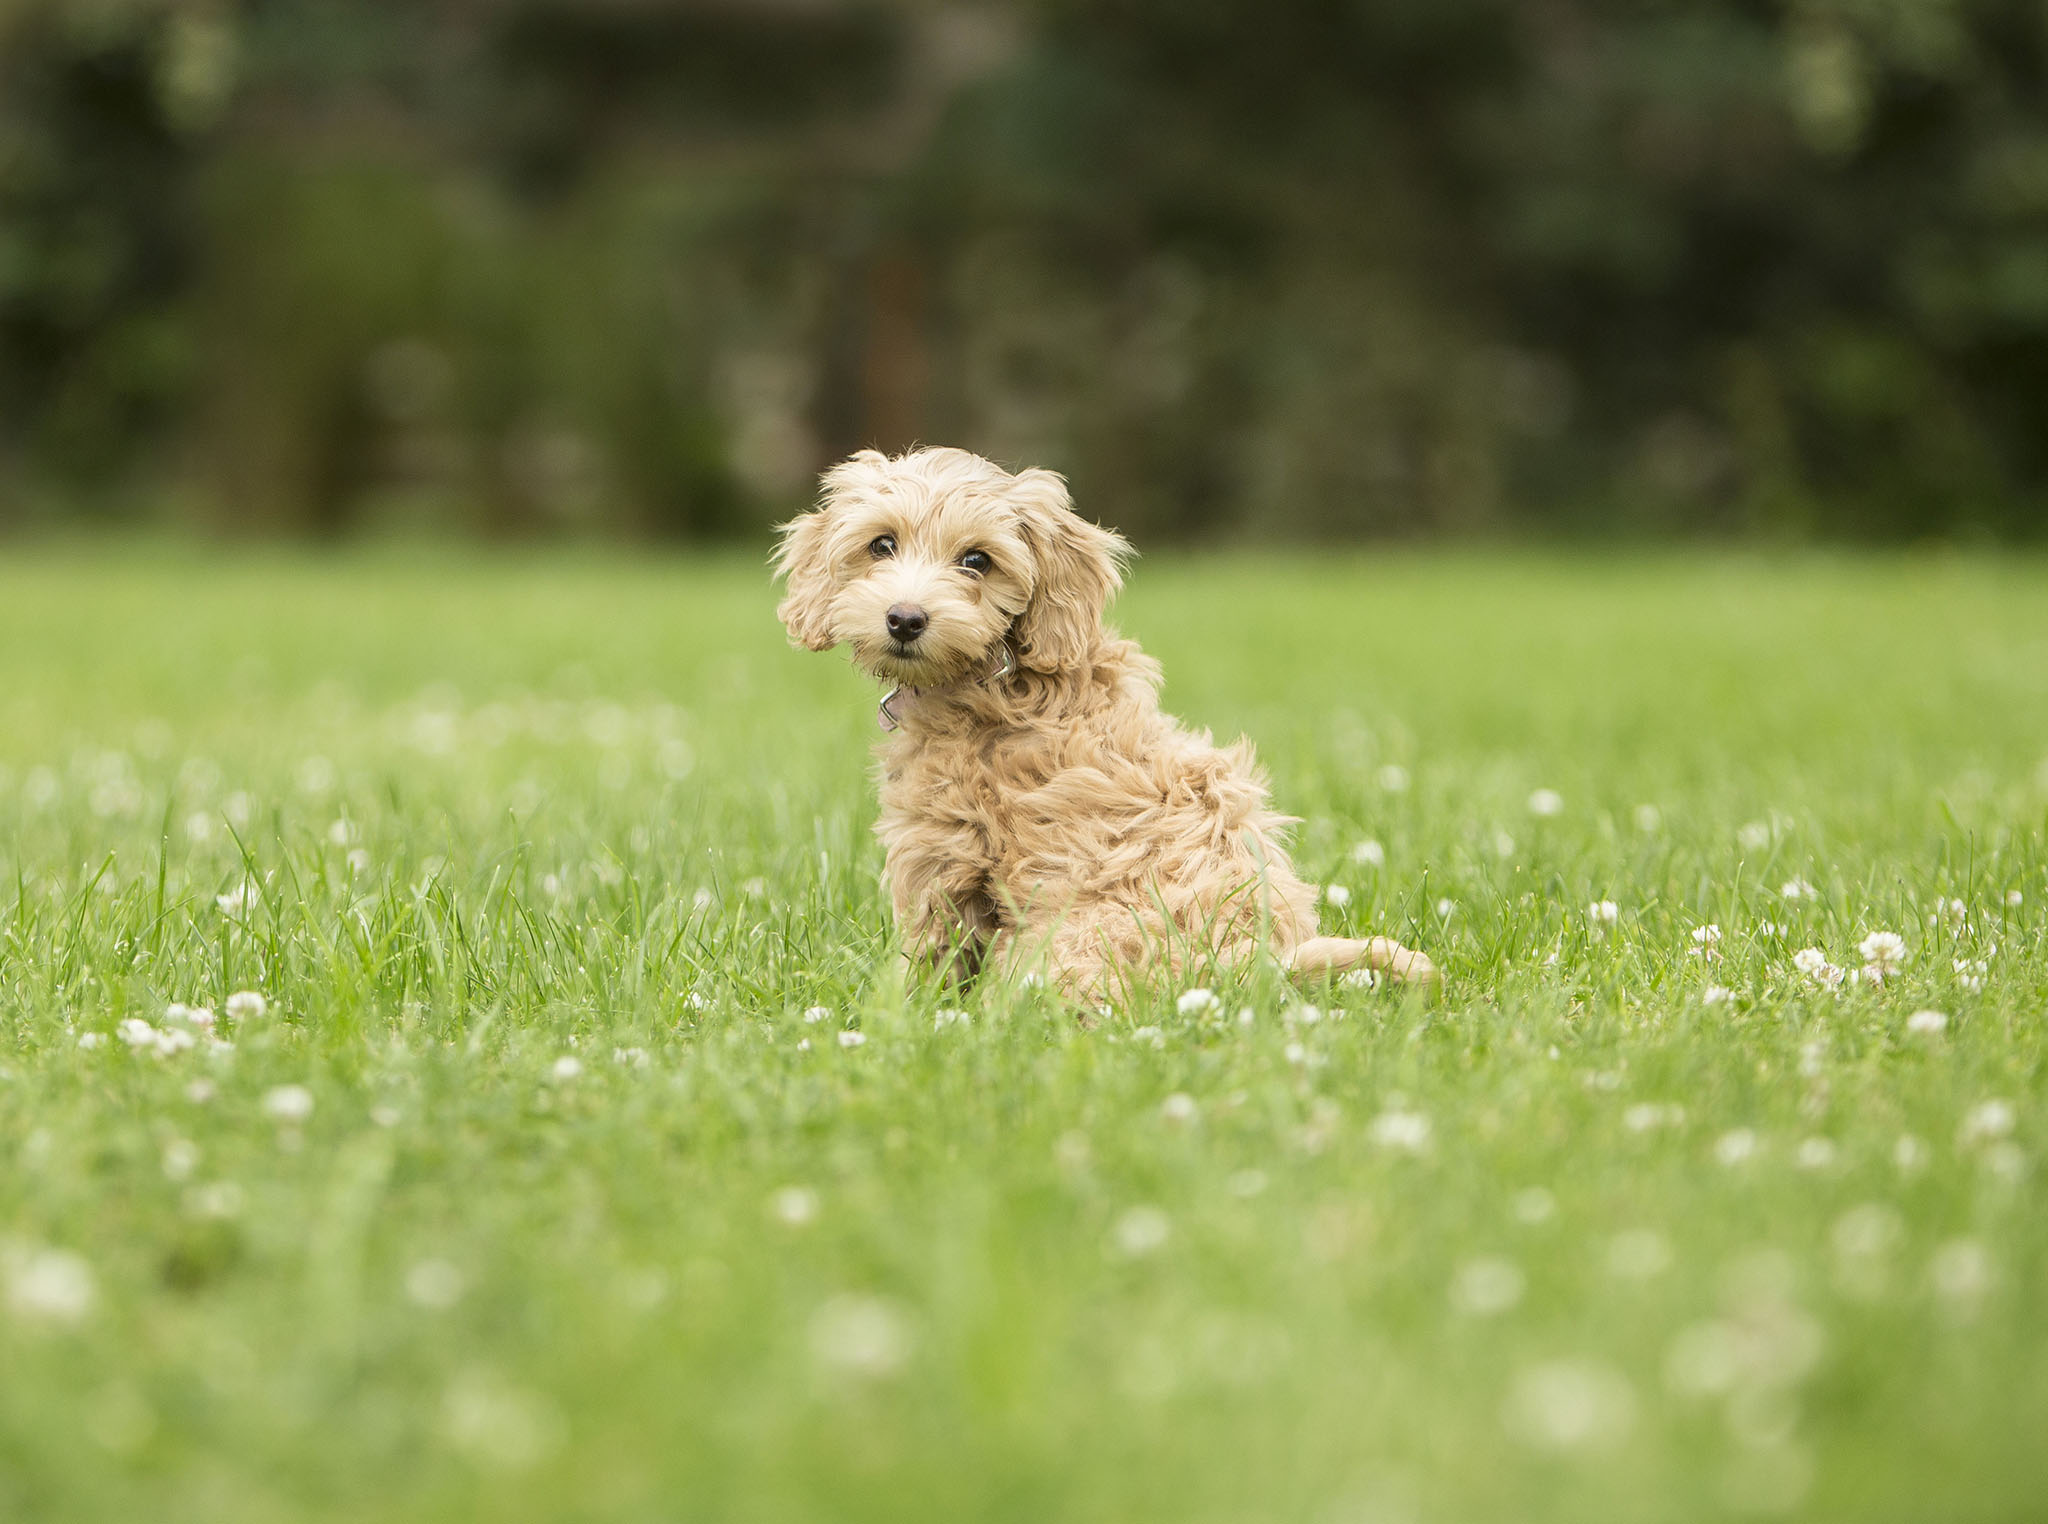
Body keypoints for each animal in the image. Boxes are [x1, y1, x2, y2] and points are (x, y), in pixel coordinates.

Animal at [774, 446, 1433, 1007]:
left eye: (976, 560)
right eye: (881, 545)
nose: (905, 619)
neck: (1001, 675)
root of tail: (1247, 971)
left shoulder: (943, 849)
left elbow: (927, 953)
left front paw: (897, 1016)